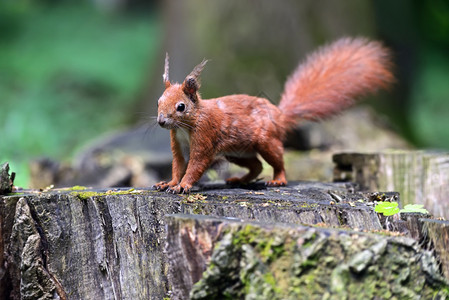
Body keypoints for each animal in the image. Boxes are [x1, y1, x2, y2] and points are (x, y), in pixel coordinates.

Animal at [153, 37, 392, 193]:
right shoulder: (178, 145)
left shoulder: (204, 136)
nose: (161, 121)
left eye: (181, 106)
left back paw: (277, 180)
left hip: (266, 141)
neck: (185, 127)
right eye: (158, 102)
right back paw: (239, 180)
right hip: (237, 152)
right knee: (257, 165)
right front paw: (169, 183)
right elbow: (178, 165)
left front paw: (183, 186)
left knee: (278, 163)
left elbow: (195, 165)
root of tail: (280, 115)